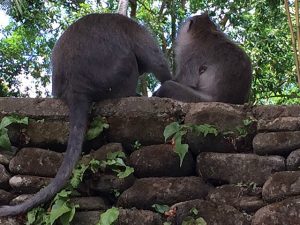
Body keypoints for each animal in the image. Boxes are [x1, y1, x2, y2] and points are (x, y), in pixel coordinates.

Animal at [0, 12, 171, 216]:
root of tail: (75, 89)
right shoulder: (134, 29)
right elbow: (157, 62)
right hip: (115, 78)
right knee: (130, 59)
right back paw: (131, 93)